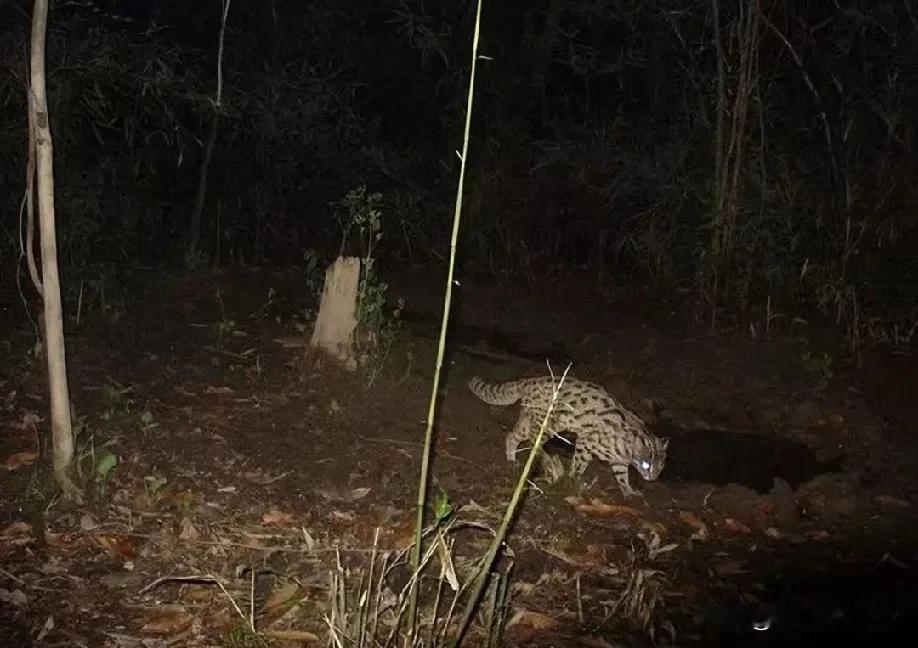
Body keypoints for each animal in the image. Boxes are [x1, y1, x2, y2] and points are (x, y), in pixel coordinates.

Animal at [474, 374, 668, 496]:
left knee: (512, 435)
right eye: (646, 465)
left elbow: (622, 475)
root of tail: (528, 381)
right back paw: (546, 460)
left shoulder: (618, 460)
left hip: (533, 419)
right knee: (533, 438)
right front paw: (574, 480)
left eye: (660, 468)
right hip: (548, 424)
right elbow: (579, 465)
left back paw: (512, 458)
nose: (651, 479)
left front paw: (628, 490)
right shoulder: (586, 443)